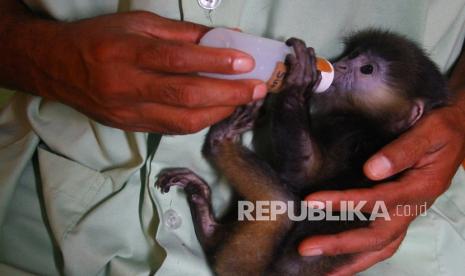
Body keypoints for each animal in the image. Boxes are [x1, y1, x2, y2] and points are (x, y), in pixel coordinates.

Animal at [156, 29, 450, 274]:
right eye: (352, 55)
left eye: (367, 68)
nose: (340, 65)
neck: (372, 125)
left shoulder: (359, 144)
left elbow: (304, 175)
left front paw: (298, 85)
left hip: (246, 260)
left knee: (283, 203)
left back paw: (220, 145)